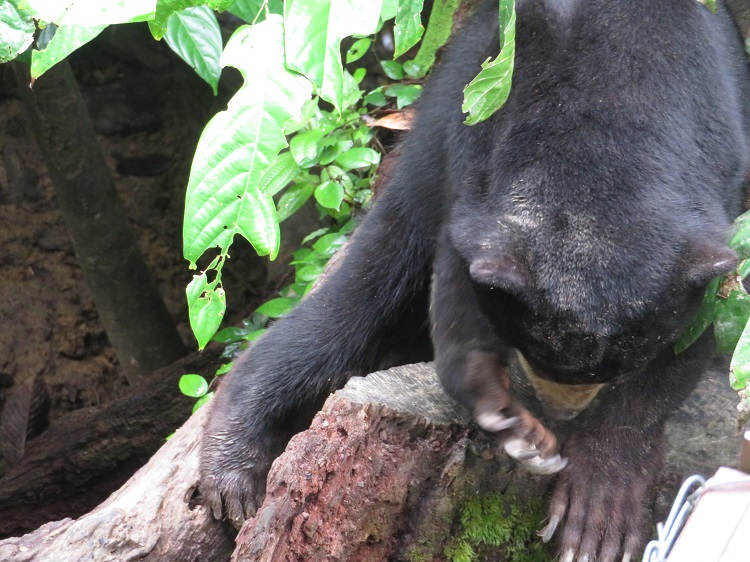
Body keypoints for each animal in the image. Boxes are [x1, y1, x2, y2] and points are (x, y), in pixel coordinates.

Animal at [199, 0, 750, 560]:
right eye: (535, 349)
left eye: (616, 367)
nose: (562, 411)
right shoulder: (474, 155)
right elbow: (453, 303)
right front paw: (510, 419)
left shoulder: (722, 186)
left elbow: (686, 348)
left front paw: (600, 513)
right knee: (361, 293)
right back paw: (232, 463)